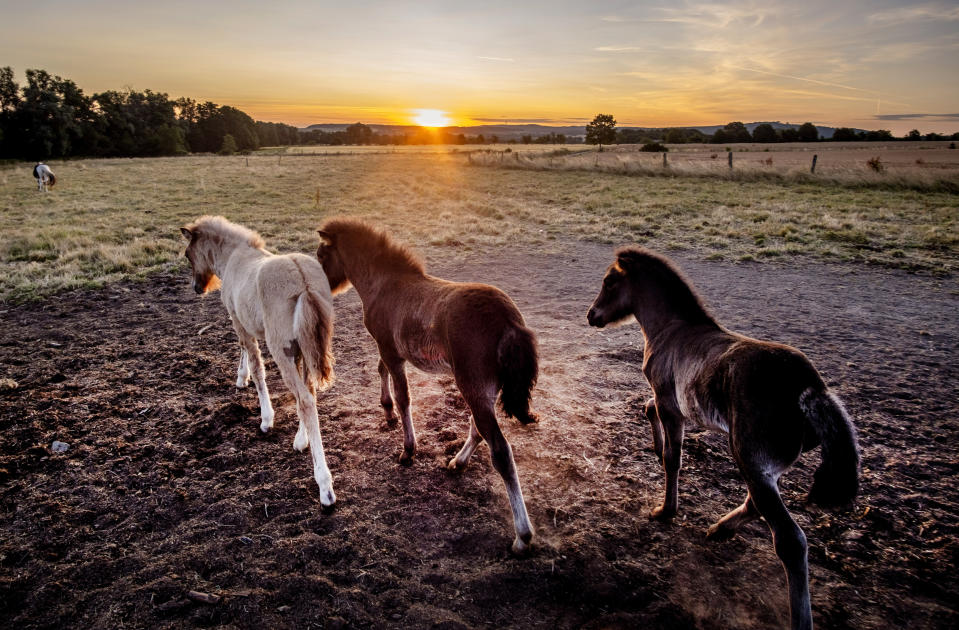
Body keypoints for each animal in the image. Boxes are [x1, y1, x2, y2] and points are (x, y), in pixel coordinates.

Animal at [180, 217, 338, 508]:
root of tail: (304, 280)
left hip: (281, 349)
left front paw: (266, 418)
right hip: (306, 346)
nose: (197, 288)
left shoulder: (238, 319)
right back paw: (302, 440)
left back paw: (325, 486)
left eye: (187, 254)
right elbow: (247, 354)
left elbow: (256, 365)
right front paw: (240, 378)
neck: (234, 256)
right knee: (308, 393)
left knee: (305, 400)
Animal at [316, 220, 536, 556]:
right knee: (478, 428)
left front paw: (408, 449)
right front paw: (387, 413)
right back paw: (457, 462)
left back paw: (522, 537)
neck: (385, 284)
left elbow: (404, 396)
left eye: (321, 255)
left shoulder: (391, 351)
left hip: (472, 386)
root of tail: (509, 321)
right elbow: (382, 373)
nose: (319, 288)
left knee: (500, 450)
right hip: (485, 390)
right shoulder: (388, 350)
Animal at [584, 248, 864, 630]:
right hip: (762, 466)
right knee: (755, 504)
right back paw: (719, 529)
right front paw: (655, 447)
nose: (591, 315)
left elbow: (673, 458)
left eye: (610, 282)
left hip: (750, 459)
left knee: (790, 541)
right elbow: (647, 411)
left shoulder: (671, 406)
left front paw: (665, 510)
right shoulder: (672, 405)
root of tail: (810, 388)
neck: (673, 330)